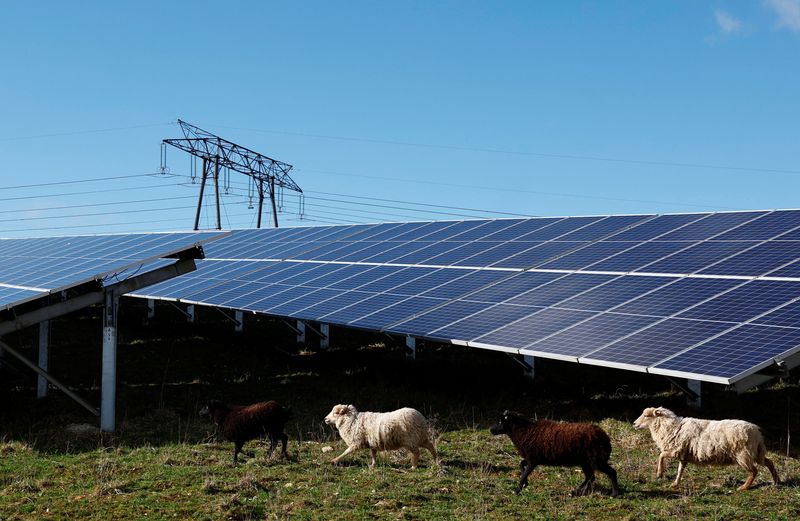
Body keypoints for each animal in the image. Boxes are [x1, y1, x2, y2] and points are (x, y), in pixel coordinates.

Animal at [490, 410, 620, 496]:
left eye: (501, 421)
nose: (491, 430)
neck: (524, 431)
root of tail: (605, 436)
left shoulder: (533, 459)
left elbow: (524, 473)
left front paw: (517, 489)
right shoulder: (532, 457)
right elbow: (521, 465)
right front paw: (525, 484)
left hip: (597, 460)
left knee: (610, 472)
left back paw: (614, 494)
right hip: (586, 462)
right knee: (590, 477)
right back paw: (576, 492)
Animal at [636, 406, 780, 488]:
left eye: (646, 415)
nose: (634, 424)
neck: (672, 427)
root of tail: (757, 432)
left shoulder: (675, 450)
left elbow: (661, 456)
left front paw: (659, 474)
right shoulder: (683, 455)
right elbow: (679, 470)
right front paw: (675, 484)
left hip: (743, 454)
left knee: (753, 471)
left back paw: (744, 487)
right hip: (756, 452)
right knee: (769, 462)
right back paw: (776, 481)